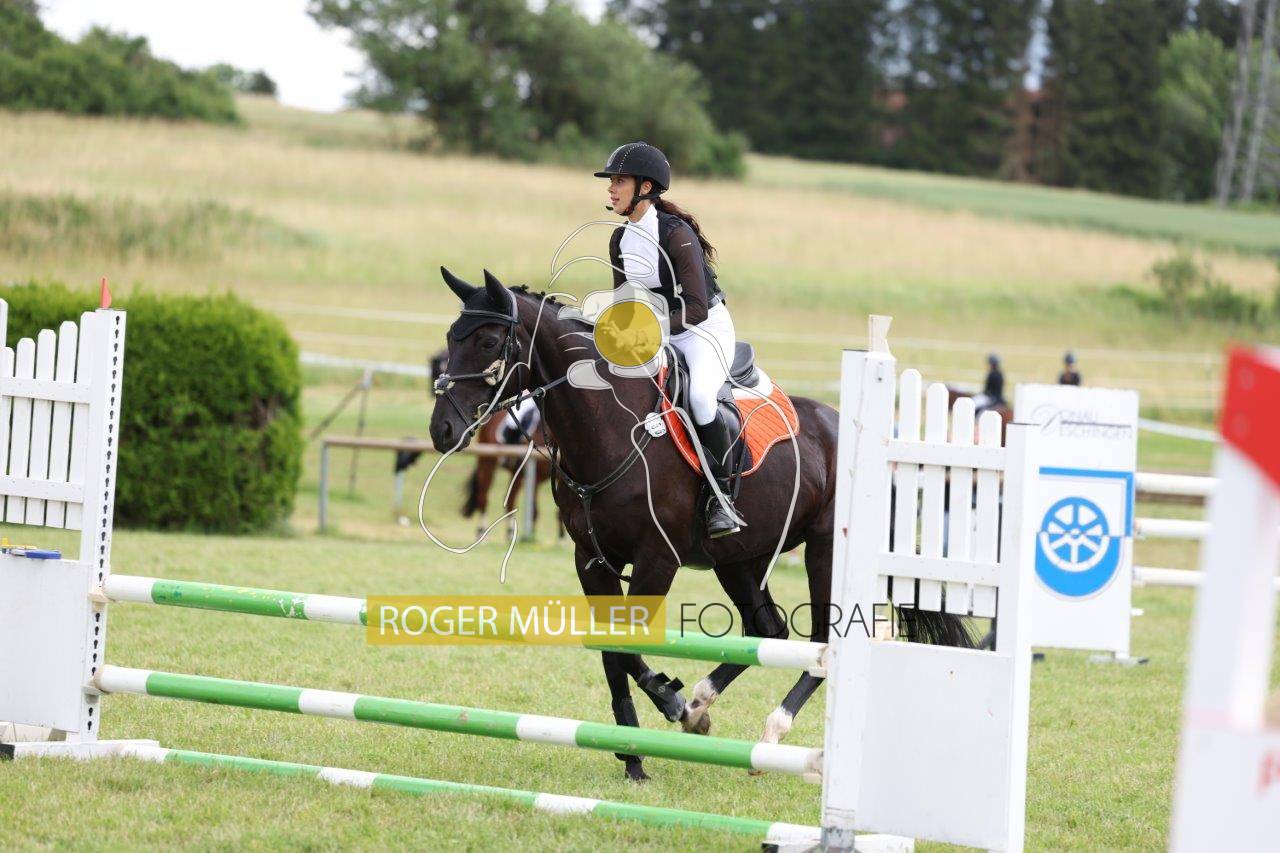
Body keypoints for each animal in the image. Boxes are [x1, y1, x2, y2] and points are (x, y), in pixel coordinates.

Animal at [428, 268, 976, 781]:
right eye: (451, 337)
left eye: (487, 342)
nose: (442, 430)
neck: (608, 427)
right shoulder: (592, 560)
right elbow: (612, 653)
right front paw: (636, 753)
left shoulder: (657, 558)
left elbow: (628, 647)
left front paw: (663, 706)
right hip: (739, 559)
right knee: (768, 629)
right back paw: (699, 707)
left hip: (824, 552)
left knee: (824, 641)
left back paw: (769, 732)